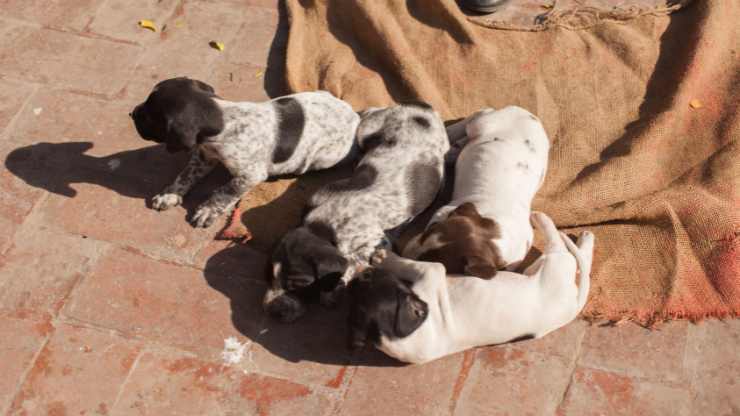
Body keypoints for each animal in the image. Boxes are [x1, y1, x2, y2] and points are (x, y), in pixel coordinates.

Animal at [130, 77, 362, 228]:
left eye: (150, 116)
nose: (131, 112)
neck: (225, 120)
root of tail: (353, 113)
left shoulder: (249, 175)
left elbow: (225, 191)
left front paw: (208, 210)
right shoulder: (204, 156)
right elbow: (185, 176)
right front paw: (170, 194)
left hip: (324, 157)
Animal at [266, 102, 450, 324]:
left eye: (298, 285)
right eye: (269, 275)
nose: (272, 310)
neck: (321, 226)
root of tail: (423, 107)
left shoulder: (375, 240)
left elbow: (352, 261)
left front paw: (334, 290)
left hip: (367, 129)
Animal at [346, 213, 596, 366]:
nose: (361, 275)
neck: (397, 335)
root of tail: (574, 305)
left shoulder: (431, 272)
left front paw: (381, 257)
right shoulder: (433, 271)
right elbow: (411, 264)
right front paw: (382, 257)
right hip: (553, 265)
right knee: (564, 249)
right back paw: (565, 229)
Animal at [398, 105, 548, 278]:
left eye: (433, 261)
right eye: (428, 231)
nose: (401, 252)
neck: (499, 233)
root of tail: (527, 113)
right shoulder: (446, 209)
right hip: (483, 123)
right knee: (479, 115)